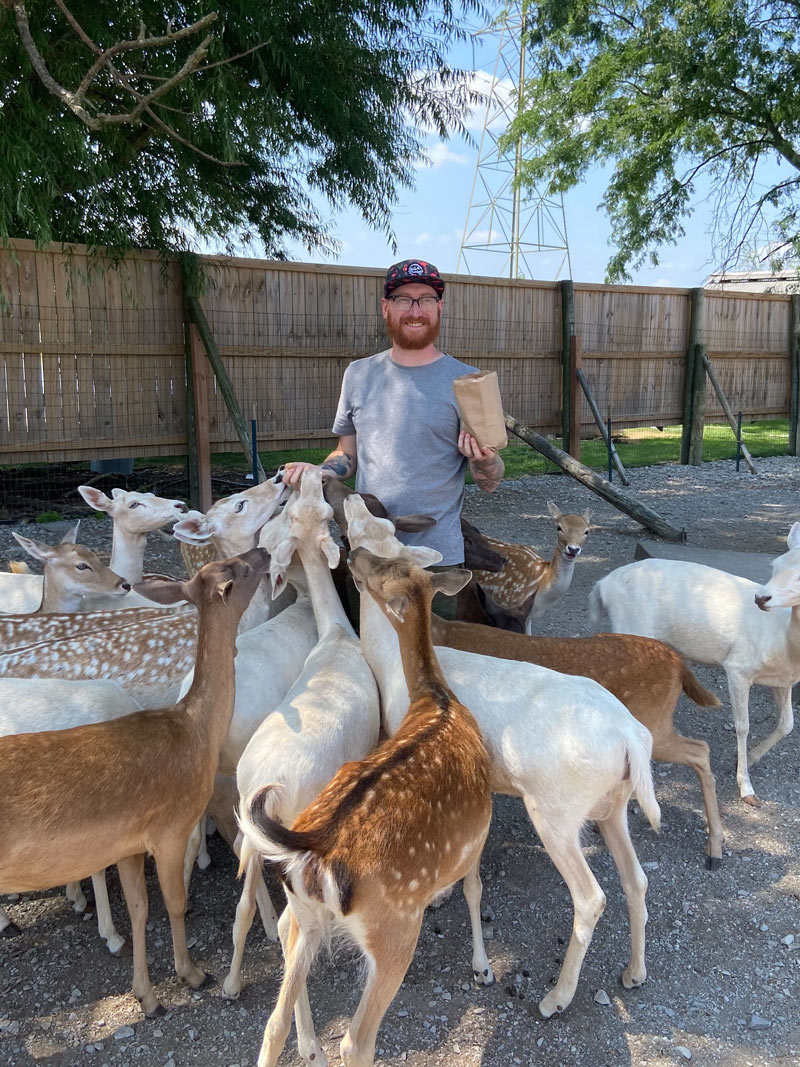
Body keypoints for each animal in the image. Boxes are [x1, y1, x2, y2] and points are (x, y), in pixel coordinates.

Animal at [0, 549, 269, 1017]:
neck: (194, 730)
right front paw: (192, 974)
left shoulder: (127, 843)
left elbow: (141, 909)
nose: (265, 552)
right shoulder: (170, 828)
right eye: (240, 568)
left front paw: (147, 996)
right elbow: (174, 903)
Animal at [239, 548, 492, 1067]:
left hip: (307, 913)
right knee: (357, 1039)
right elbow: (474, 890)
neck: (438, 699)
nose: (353, 553)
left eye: (389, 564)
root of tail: (316, 849)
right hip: (393, 930)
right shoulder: (479, 831)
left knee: (272, 1023)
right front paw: (482, 967)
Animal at [589, 533, 800, 805]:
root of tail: (602, 584)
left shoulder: (783, 680)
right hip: (631, 626)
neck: (784, 644)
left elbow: (787, 724)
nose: (761, 598)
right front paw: (747, 788)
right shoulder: (738, 666)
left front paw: (748, 759)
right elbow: (743, 725)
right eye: (774, 565)